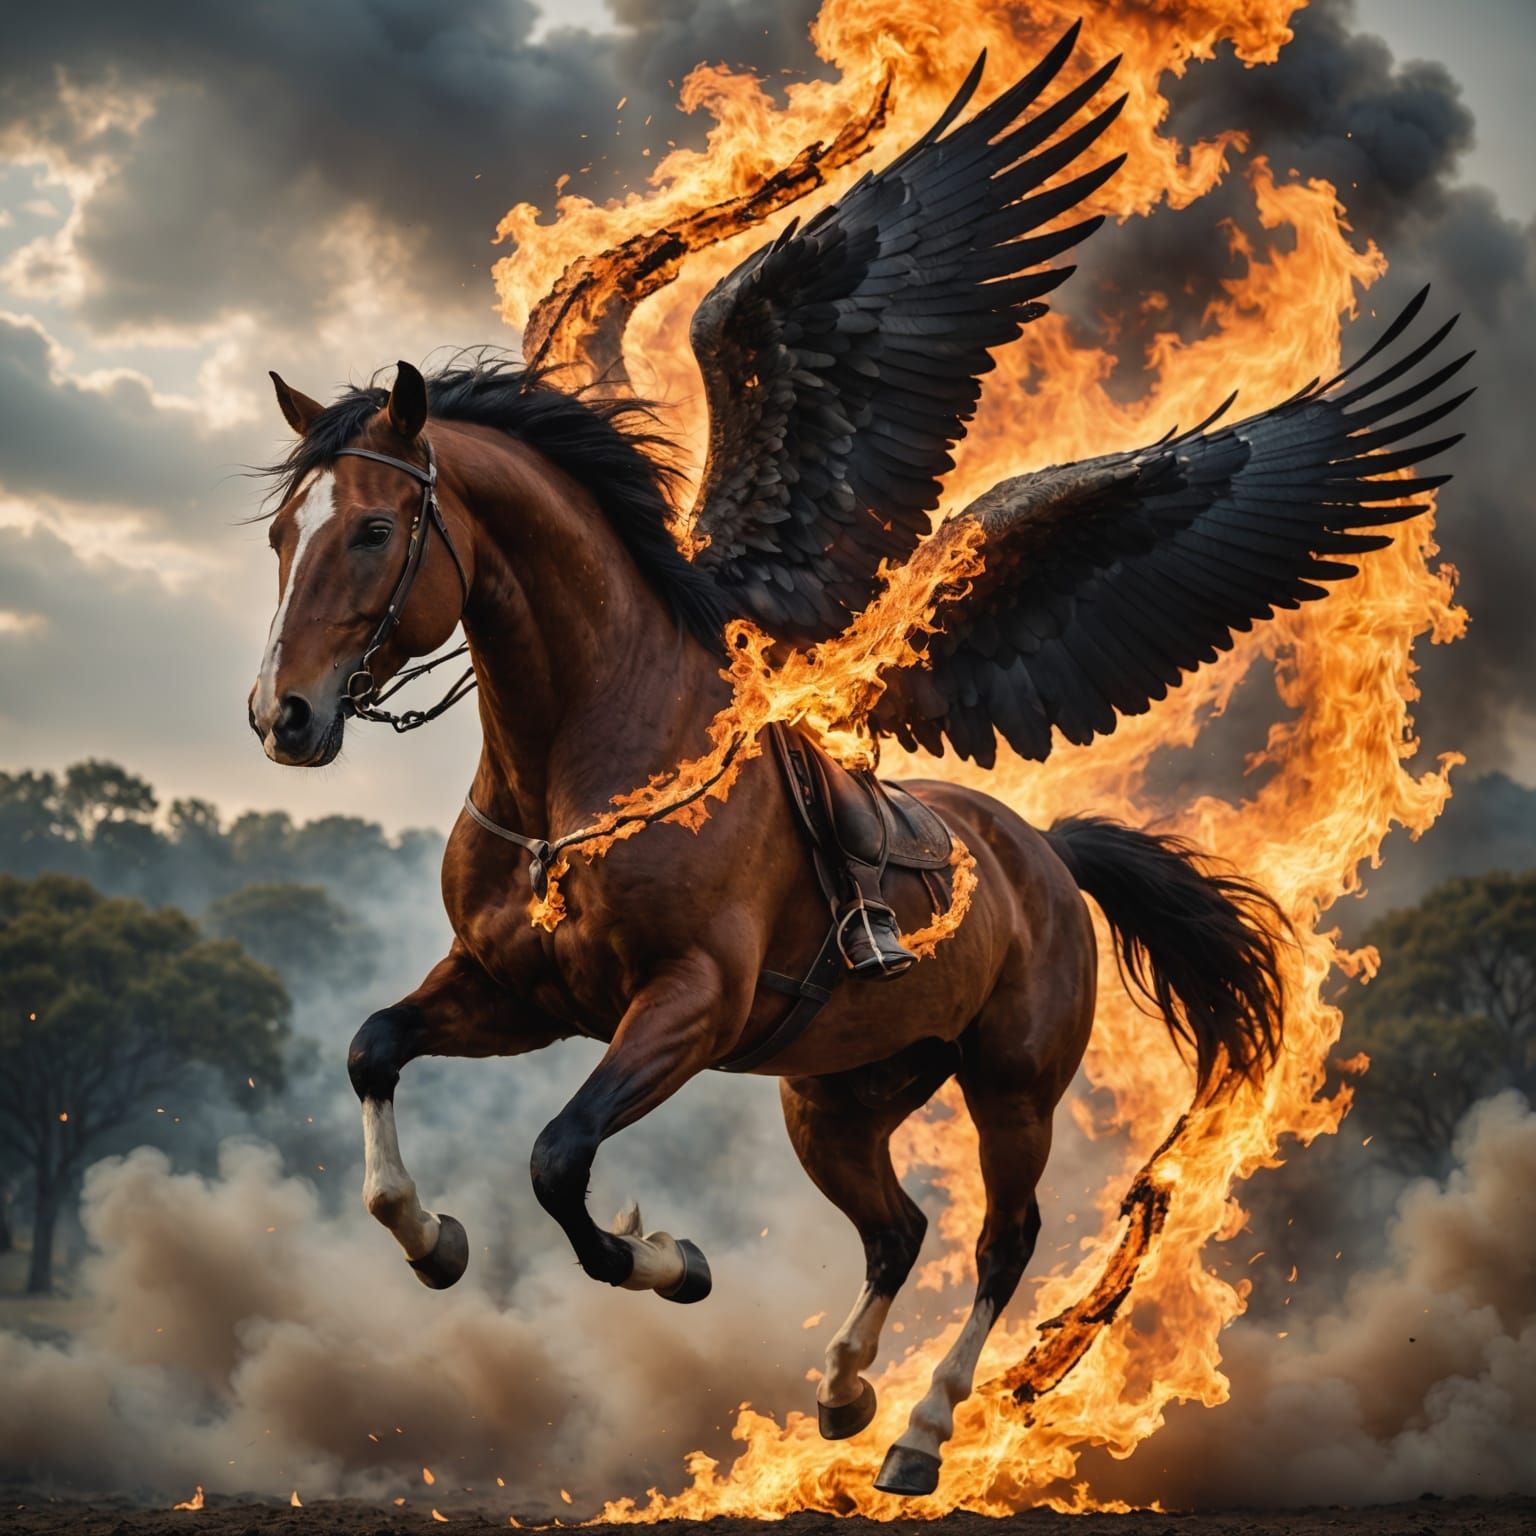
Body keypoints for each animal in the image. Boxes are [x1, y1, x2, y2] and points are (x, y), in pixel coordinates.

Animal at [248, 357, 1285, 1495]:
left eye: (373, 530)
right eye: (282, 533)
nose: (281, 716)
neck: (579, 772)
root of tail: (1046, 852)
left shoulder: (687, 1007)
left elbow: (559, 1160)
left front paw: (669, 1263)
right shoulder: (512, 994)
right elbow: (373, 1049)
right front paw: (432, 1238)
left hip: (1011, 1091)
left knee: (1001, 1243)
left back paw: (920, 1434)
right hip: (834, 1101)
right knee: (897, 1231)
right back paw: (843, 1389)